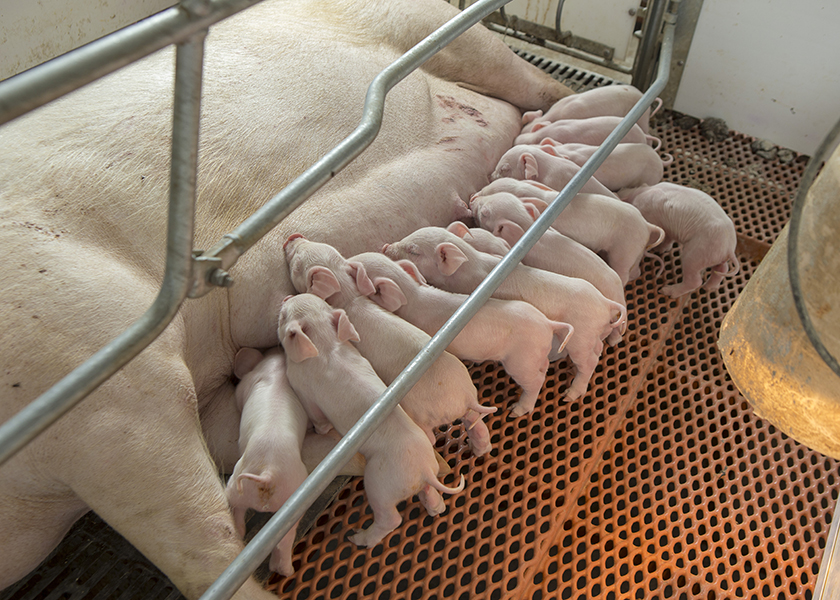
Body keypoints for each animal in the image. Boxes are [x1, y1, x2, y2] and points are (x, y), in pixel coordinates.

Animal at [224, 347, 308, 577]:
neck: (276, 369)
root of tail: (267, 474)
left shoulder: (245, 385)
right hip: (291, 500)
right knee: (283, 539)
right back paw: (287, 571)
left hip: (238, 484)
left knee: (239, 515)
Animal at [276, 293, 465, 547]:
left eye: (284, 317)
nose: (286, 296)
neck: (325, 345)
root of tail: (425, 469)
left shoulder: (303, 389)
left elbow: (319, 419)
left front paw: (319, 430)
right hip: (417, 479)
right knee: (432, 498)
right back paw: (435, 508)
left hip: (379, 483)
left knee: (391, 519)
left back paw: (356, 537)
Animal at [283, 234, 496, 455]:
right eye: (331, 249)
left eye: (297, 265)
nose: (293, 236)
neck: (349, 296)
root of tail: (465, 396)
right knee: (475, 422)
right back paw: (480, 450)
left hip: (421, 414)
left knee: (430, 437)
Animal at [349, 251, 574, 416]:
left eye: (356, 274)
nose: (347, 261)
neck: (414, 297)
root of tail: (547, 323)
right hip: (535, 354)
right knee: (544, 366)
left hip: (520, 359)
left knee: (535, 381)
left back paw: (516, 411)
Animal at [383, 227, 626, 400]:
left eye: (414, 250)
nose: (385, 246)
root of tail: (605, 303)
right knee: (598, 348)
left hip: (580, 337)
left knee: (588, 361)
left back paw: (569, 395)